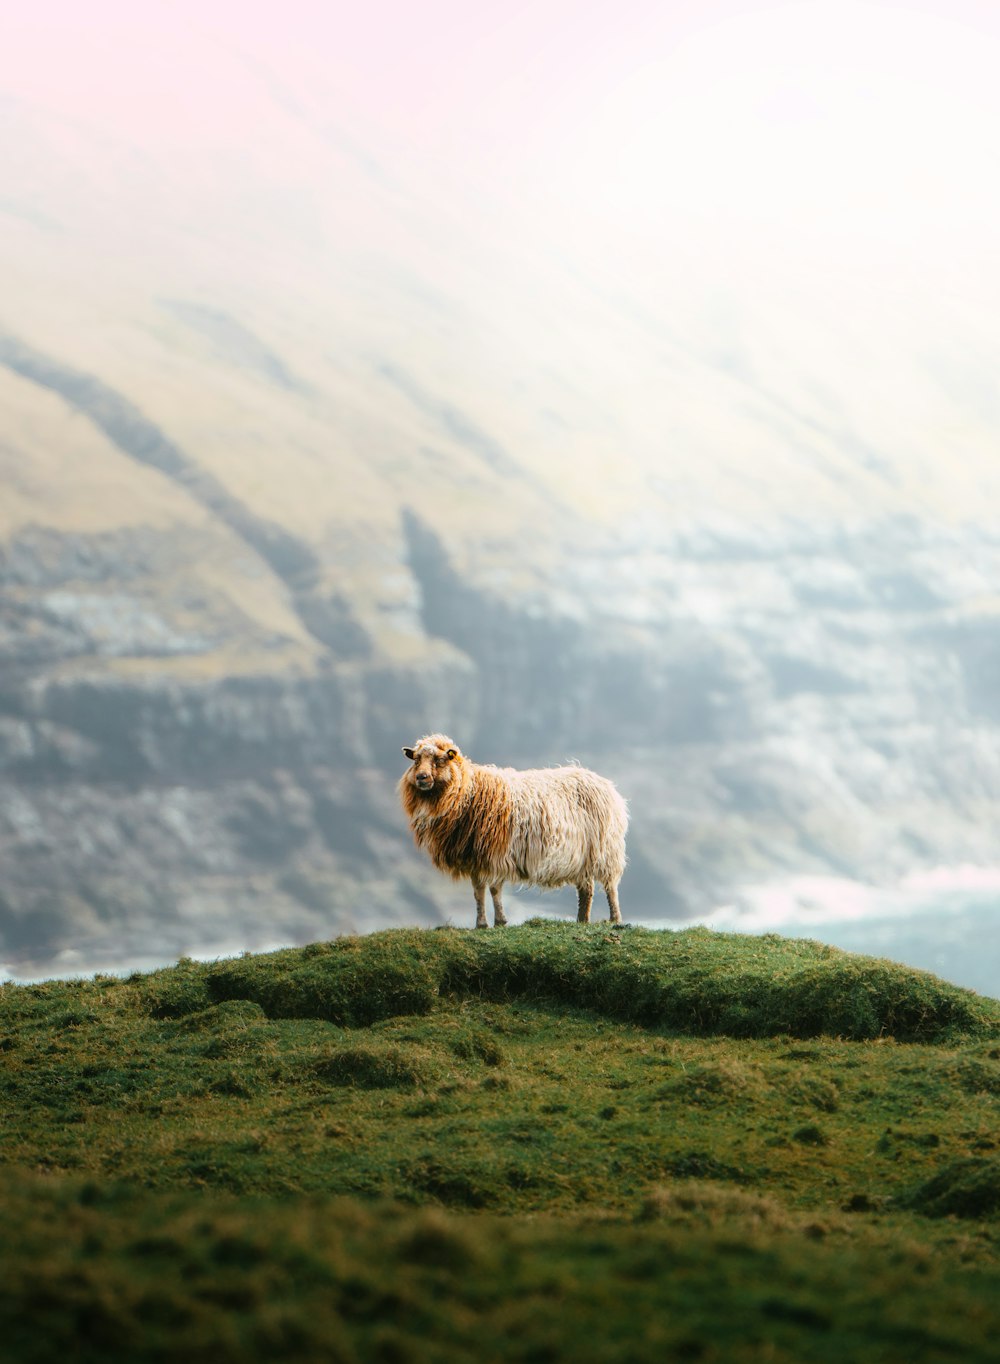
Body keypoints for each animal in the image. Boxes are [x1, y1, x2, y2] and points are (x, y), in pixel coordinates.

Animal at [395, 736, 624, 927]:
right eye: (416, 760)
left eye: (440, 760)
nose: (421, 777)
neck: (469, 791)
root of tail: (603, 782)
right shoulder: (474, 856)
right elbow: (478, 891)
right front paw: (481, 924)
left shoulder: (495, 853)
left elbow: (495, 889)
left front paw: (500, 921)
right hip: (584, 857)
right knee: (587, 889)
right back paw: (582, 921)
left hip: (607, 850)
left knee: (610, 886)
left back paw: (615, 919)